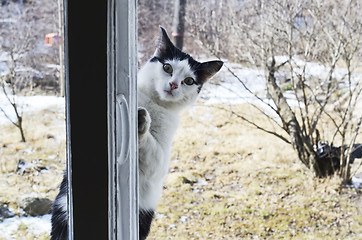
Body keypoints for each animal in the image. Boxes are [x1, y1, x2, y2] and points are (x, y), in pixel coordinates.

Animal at [49, 26, 222, 240]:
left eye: (189, 81)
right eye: (167, 68)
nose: (174, 84)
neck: (154, 104)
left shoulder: (160, 161)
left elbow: (151, 148)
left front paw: (141, 121)